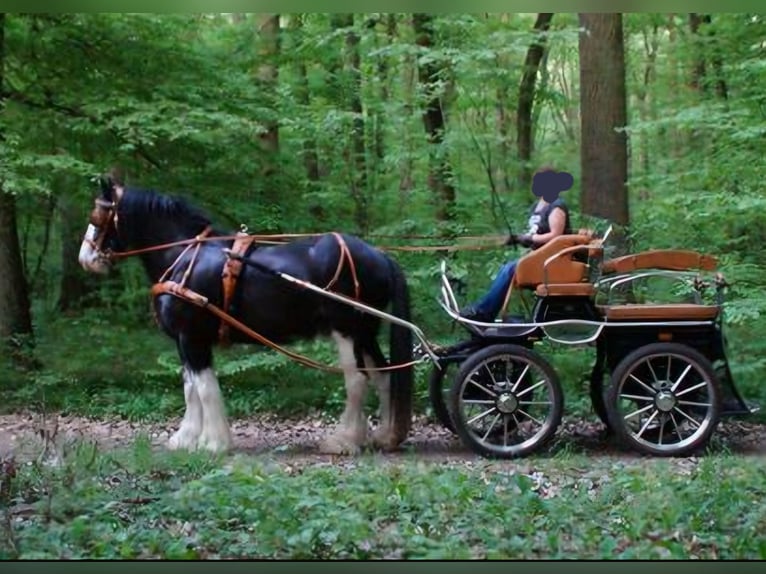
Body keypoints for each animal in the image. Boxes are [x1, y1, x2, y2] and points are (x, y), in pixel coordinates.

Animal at [76, 176, 414, 454]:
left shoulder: (192, 337)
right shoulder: (184, 342)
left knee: (357, 380)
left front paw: (212, 443)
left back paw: (344, 441)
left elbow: (203, 389)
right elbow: (189, 388)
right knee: (384, 376)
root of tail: (379, 255)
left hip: (346, 330)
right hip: (365, 331)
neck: (184, 256)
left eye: (97, 215)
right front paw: (186, 438)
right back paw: (384, 436)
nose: (86, 258)